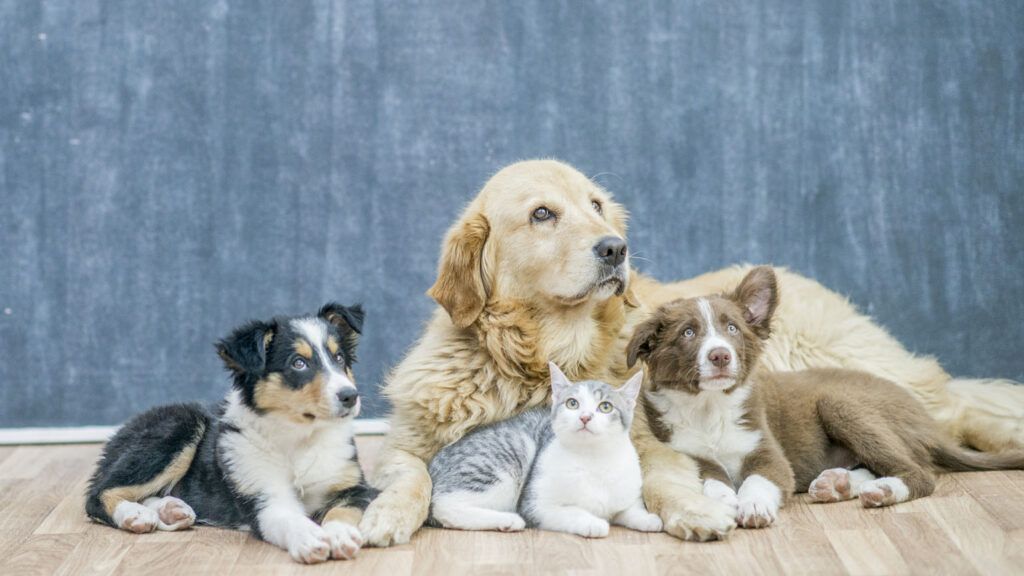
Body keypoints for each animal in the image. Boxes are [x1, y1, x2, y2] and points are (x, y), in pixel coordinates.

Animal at [87, 303, 376, 561]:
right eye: (298, 363)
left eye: (339, 358)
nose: (350, 396)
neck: (300, 437)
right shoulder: (264, 497)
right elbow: (290, 520)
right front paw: (311, 538)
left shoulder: (356, 487)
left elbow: (342, 511)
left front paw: (339, 535)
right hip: (179, 425)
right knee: (97, 494)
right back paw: (134, 515)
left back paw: (171, 510)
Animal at [425, 360, 659, 537]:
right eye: (572, 403)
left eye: (606, 407)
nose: (585, 417)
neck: (593, 459)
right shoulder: (536, 505)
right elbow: (571, 512)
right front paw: (593, 522)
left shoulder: (627, 495)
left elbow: (630, 510)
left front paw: (648, 519)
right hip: (511, 453)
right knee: (445, 505)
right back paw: (507, 520)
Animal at [622, 266, 1024, 528]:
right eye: (688, 333)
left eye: (732, 328)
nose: (720, 356)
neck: (710, 409)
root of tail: (926, 421)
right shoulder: (689, 454)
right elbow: (715, 481)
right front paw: (724, 502)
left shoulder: (770, 455)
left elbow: (757, 480)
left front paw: (753, 506)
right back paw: (840, 483)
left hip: (841, 402)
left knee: (919, 472)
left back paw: (883, 490)